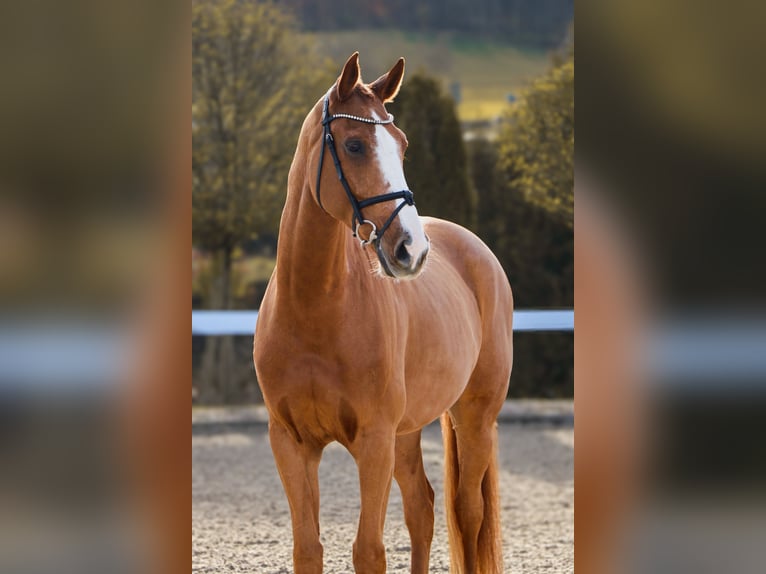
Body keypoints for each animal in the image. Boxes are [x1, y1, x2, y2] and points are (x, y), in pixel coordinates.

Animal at [253, 52, 513, 574]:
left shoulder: (374, 441)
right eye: (354, 145)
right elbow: (308, 549)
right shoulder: (291, 443)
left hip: (474, 418)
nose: (412, 249)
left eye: (402, 146)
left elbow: (369, 551)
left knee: (468, 513)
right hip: (407, 432)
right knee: (422, 508)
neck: (314, 310)